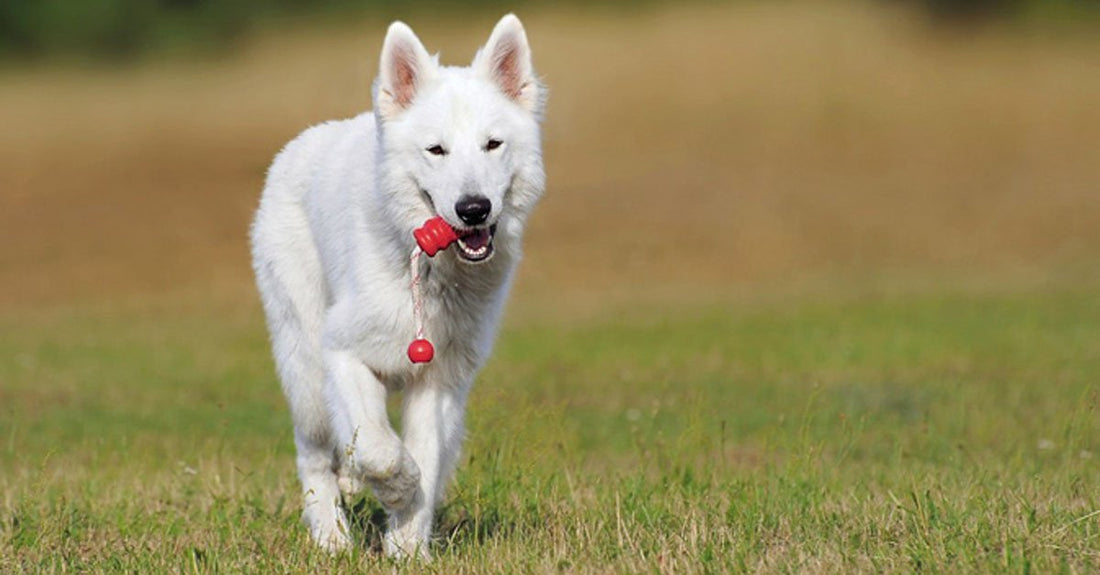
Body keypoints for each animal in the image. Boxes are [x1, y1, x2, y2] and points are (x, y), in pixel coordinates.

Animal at [248, 15, 541, 560]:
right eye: (436, 150)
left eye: (492, 145)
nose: (474, 209)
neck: (428, 272)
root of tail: (300, 143)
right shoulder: (342, 354)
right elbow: (381, 450)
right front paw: (397, 488)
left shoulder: (439, 381)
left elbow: (424, 454)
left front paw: (407, 548)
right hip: (306, 369)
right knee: (314, 454)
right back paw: (331, 538)